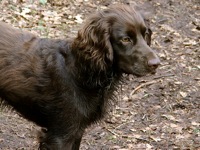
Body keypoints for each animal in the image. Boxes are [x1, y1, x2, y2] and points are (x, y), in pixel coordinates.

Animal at [0, 4, 159, 149]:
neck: (82, 71)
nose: (156, 64)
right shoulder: (60, 135)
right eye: (125, 39)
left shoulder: (77, 131)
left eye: (145, 34)